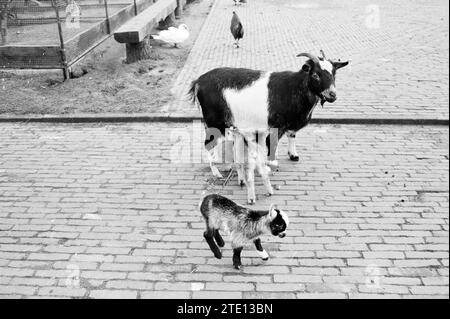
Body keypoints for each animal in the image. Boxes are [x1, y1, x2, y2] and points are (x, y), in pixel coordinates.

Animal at [189, 51, 348, 204]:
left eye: (334, 73)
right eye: (315, 74)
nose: (332, 95)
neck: (293, 87)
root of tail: (198, 82)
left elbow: (291, 134)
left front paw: (293, 155)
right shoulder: (275, 126)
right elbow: (272, 144)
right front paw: (271, 163)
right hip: (214, 121)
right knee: (209, 143)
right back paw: (216, 172)